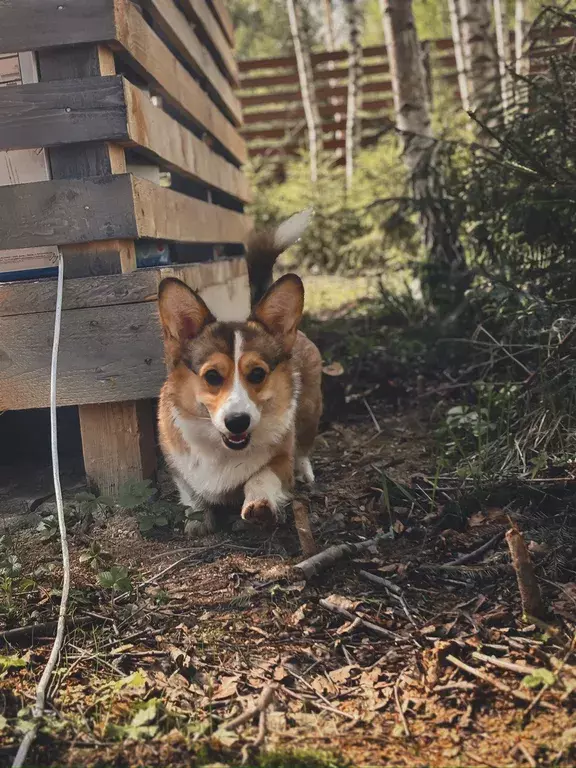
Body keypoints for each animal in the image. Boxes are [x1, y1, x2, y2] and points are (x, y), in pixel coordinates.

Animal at [155, 210, 322, 536]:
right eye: (212, 376)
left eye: (257, 373)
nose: (237, 422)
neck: (224, 449)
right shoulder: (178, 464)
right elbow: (192, 493)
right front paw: (198, 520)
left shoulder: (279, 460)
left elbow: (261, 476)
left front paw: (259, 503)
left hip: (310, 410)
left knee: (304, 448)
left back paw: (305, 471)